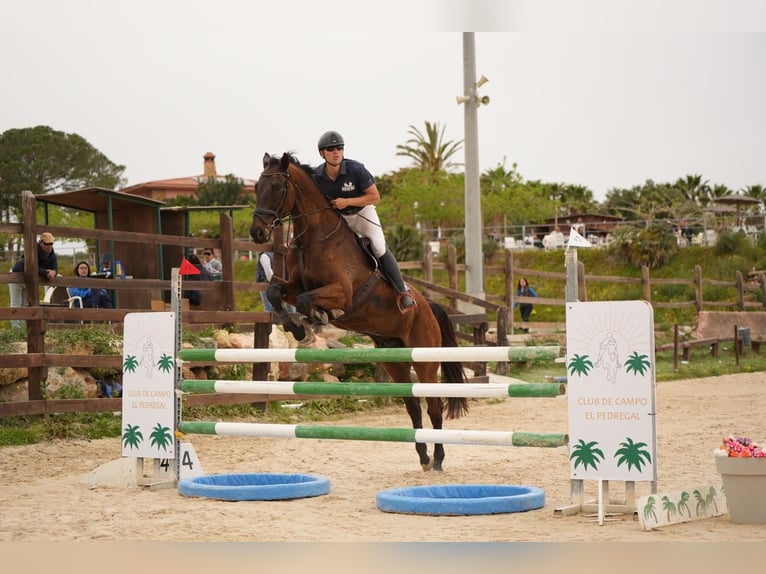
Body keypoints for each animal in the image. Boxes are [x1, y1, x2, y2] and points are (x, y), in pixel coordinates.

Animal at [250, 152, 469, 471]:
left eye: (277, 188)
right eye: (256, 188)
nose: (257, 232)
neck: (314, 239)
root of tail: (429, 306)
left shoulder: (342, 292)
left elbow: (304, 300)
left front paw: (316, 319)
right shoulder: (292, 284)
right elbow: (276, 292)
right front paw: (298, 329)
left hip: (424, 357)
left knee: (434, 406)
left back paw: (438, 459)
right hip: (394, 358)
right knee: (413, 406)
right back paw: (424, 456)